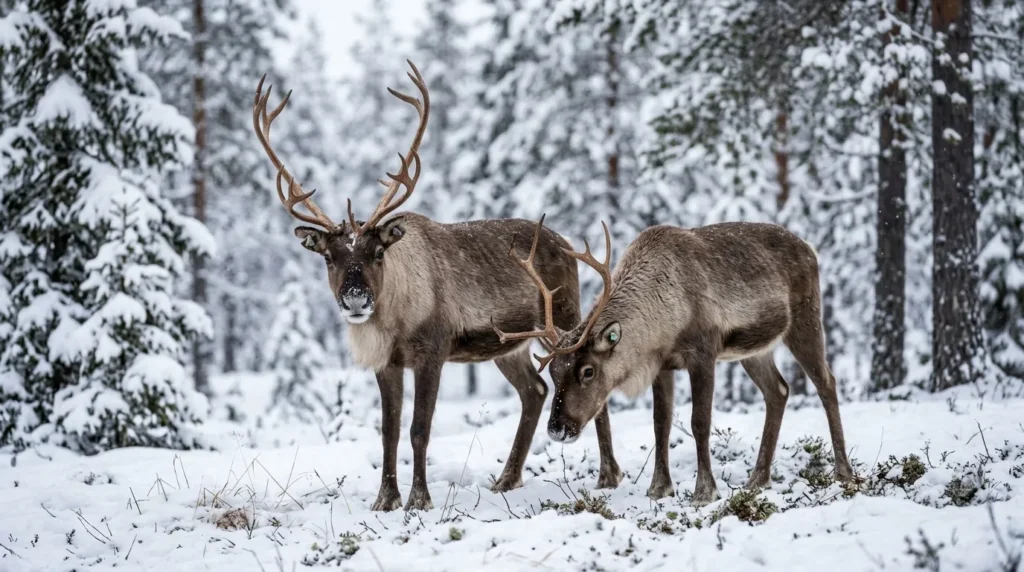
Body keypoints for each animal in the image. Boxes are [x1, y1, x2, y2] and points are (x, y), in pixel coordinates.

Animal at [250, 61, 623, 511]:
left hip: (566, 313)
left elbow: (419, 429)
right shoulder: (388, 363)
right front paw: (384, 499)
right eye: (328, 257)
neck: (394, 320)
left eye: (378, 252)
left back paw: (608, 475)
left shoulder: (433, 351)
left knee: (590, 382)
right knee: (534, 390)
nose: (356, 299)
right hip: (509, 345)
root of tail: (567, 245)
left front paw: (418, 499)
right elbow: (389, 430)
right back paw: (507, 479)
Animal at [496, 217, 856, 505]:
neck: (664, 316)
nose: (557, 429)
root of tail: (810, 248)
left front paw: (704, 491)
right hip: (755, 351)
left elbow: (699, 422)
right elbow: (661, 423)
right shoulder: (662, 364)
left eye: (588, 371)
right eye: (554, 372)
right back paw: (757, 479)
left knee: (826, 382)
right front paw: (659, 488)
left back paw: (843, 472)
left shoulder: (704, 353)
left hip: (805, 318)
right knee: (778, 391)